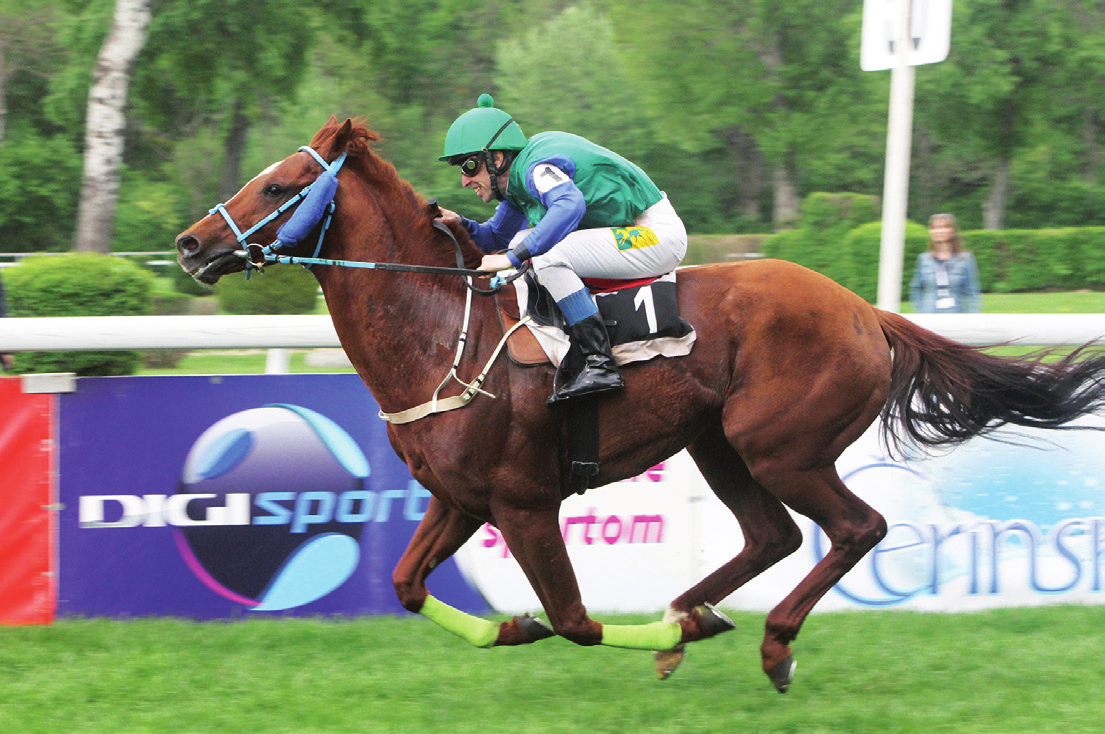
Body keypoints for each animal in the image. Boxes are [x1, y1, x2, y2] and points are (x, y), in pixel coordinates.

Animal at [174, 117, 1105, 689]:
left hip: (779, 446)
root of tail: (863, 311)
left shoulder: (522, 501)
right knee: (770, 535)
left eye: (277, 187)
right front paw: (514, 630)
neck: (444, 330)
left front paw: (636, 635)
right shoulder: (458, 496)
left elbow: (576, 621)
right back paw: (692, 613)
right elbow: (404, 585)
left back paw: (761, 640)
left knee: (855, 528)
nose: (188, 243)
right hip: (718, 444)